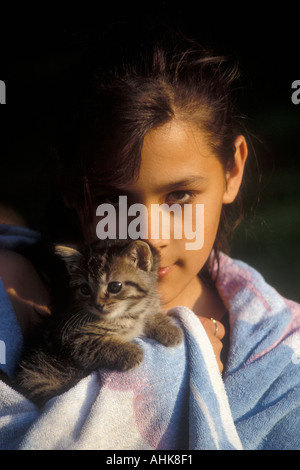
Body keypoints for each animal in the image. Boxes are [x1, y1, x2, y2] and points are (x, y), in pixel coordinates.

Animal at [12, 241, 183, 406]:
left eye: (115, 286)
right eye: (85, 289)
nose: (97, 304)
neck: (128, 312)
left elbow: (150, 315)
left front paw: (169, 330)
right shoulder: (76, 339)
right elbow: (102, 345)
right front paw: (132, 352)